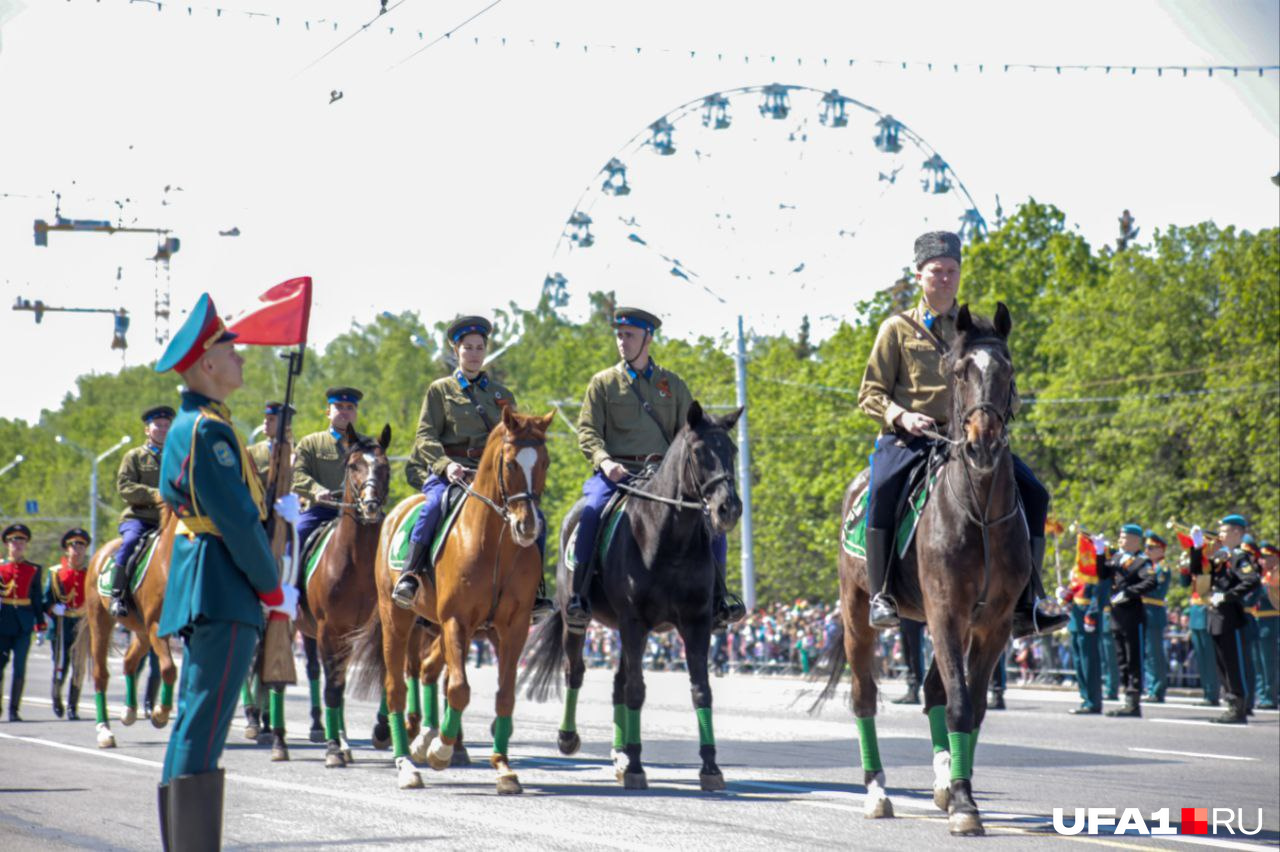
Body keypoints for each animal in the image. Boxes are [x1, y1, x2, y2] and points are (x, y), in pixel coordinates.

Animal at [77, 506, 181, 747]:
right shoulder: (156, 626)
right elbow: (169, 668)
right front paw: (160, 713)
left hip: (142, 634)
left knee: (129, 661)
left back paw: (129, 711)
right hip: (101, 624)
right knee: (101, 674)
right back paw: (104, 730)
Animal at [293, 422, 396, 767]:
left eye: (385, 466)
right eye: (353, 466)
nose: (371, 506)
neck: (356, 562)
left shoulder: (375, 629)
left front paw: (382, 730)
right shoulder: (329, 630)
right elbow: (333, 689)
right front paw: (332, 749)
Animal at [348, 404, 552, 788]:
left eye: (545, 462)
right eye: (510, 463)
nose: (528, 526)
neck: (495, 543)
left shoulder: (513, 628)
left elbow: (505, 696)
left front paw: (503, 766)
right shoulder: (456, 620)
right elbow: (458, 688)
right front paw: (439, 751)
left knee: (428, 672)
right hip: (398, 620)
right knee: (396, 687)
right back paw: (406, 762)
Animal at [524, 399, 747, 788]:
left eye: (732, 450)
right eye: (699, 451)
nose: (728, 508)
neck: (670, 539)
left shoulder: (696, 624)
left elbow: (700, 689)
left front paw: (710, 767)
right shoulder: (635, 622)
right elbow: (636, 691)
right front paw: (637, 767)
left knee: (617, 681)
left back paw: (620, 754)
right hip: (578, 621)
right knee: (576, 671)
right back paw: (570, 739)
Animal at [819, 301, 1029, 834]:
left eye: (1007, 369)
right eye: (960, 371)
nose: (982, 444)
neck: (977, 510)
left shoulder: (993, 622)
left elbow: (972, 706)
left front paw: (959, 793)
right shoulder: (945, 611)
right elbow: (958, 704)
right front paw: (964, 804)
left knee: (933, 689)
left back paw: (939, 782)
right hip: (857, 614)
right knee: (864, 696)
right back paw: (877, 792)